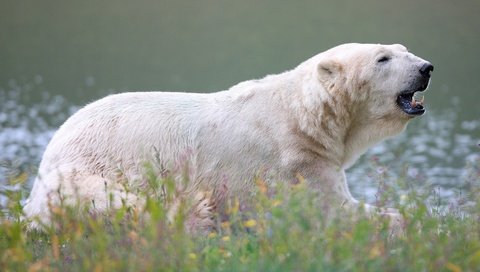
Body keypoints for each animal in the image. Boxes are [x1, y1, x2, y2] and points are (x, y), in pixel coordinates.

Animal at [24, 43, 434, 231]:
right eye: (382, 58)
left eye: (402, 49)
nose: (426, 67)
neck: (302, 117)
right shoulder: (293, 164)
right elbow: (334, 212)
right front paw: (409, 219)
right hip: (87, 170)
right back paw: (197, 214)